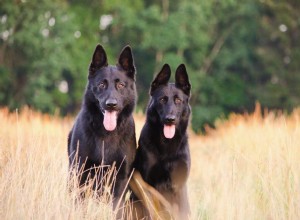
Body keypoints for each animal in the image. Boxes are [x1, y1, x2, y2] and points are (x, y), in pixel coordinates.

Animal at [67, 45, 137, 208]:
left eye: (120, 85)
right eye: (101, 84)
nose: (111, 104)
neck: (107, 135)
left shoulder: (121, 177)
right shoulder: (81, 172)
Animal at [133, 63, 190, 218]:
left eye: (178, 100)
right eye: (162, 100)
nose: (170, 119)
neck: (167, 146)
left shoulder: (179, 185)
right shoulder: (150, 184)